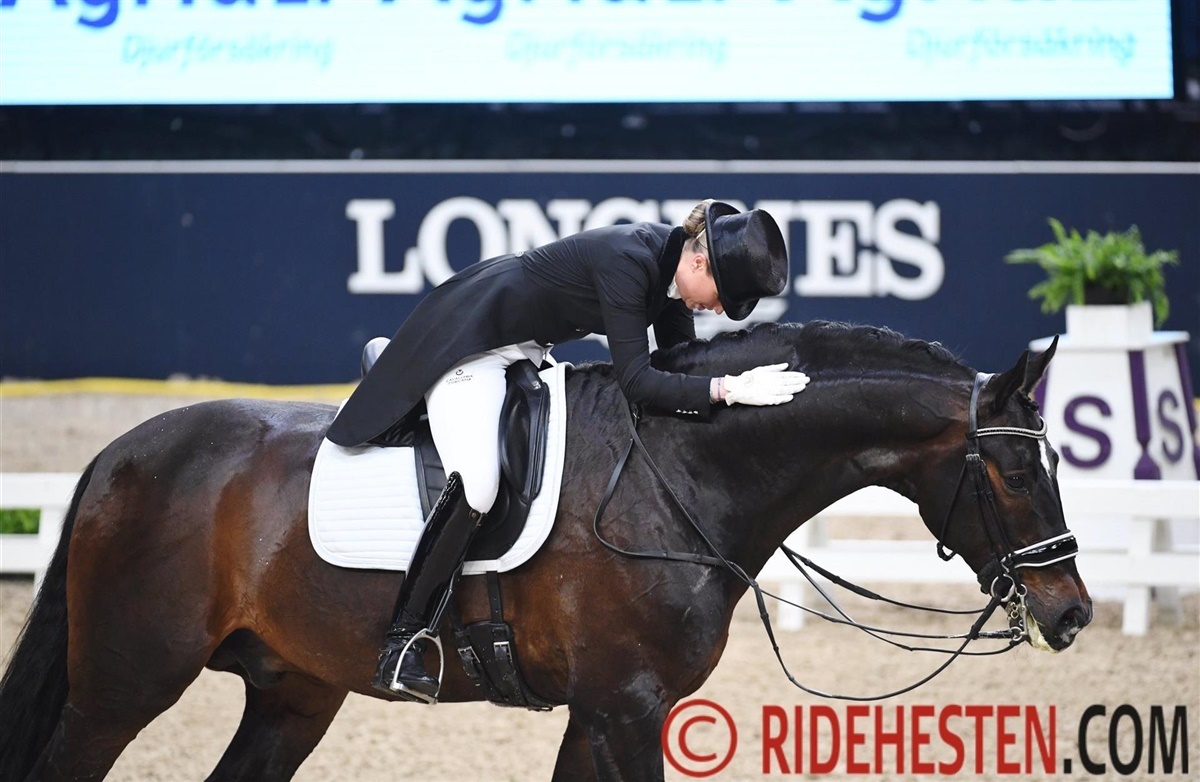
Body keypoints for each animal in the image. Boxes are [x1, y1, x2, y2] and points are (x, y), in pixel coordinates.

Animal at [0, 320, 1092, 782]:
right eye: (1014, 471)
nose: (1071, 610)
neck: (680, 474)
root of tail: (123, 451)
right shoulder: (629, 705)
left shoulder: (603, 708)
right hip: (126, 682)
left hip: (292, 690)